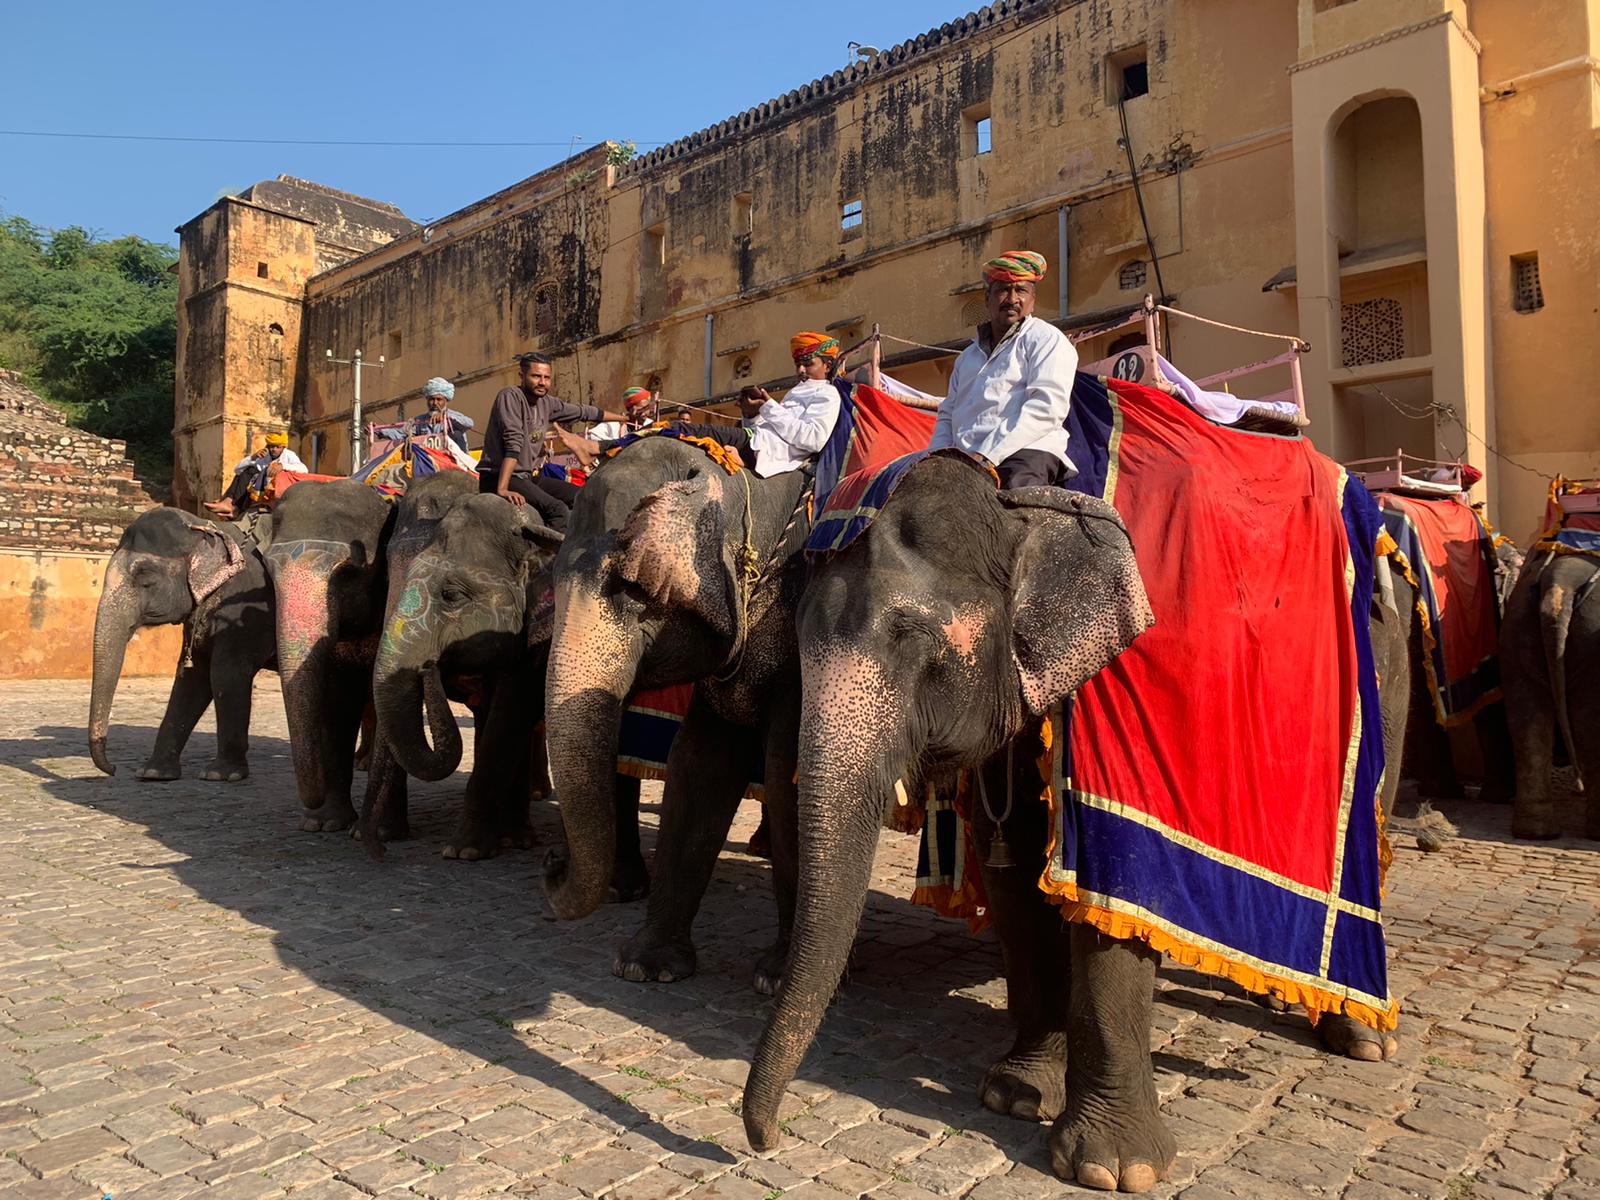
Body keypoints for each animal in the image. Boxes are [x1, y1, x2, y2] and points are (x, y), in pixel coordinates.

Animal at [88, 508, 276, 784]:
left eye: (145, 580)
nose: (113, 769)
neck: (209, 528)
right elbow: (191, 678)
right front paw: (153, 773)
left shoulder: (242, 611)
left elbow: (225, 675)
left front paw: (220, 774)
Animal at [264, 480, 395, 838]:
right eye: (269, 569)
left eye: (348, 572)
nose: (312, 801)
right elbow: (337, 702)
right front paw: (323, 823)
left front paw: (374, 830)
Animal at [544, 438, 812, 992]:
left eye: (633, 591)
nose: (552, 861)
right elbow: (698, 763)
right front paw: (646, 967)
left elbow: (787, 774)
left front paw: (775, 980)